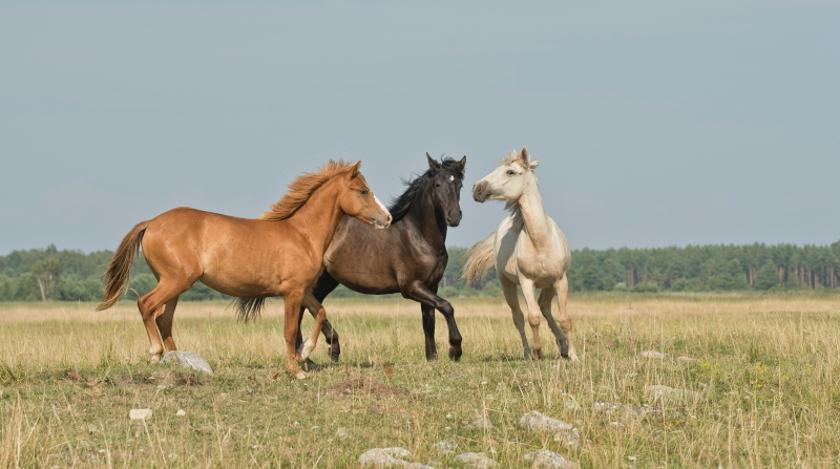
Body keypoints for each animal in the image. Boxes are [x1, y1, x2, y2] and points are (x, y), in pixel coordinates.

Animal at [97, 160, 392, 376]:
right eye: (363, 190)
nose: (387, 218)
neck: (303, 234)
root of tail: (151, 222)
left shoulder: (303, 291)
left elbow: (320, 313)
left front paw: (305, 353)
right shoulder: (292, 293)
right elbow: (289, 331)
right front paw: (296, 369)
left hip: (175, 285)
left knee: (163, 318)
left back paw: (179, 361)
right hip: (175, 281)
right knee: (146, 305)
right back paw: (156, 354)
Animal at [296, 155, 466, 360]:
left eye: (459, 185)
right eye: (438, 184)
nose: (454, 217)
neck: (419, 236)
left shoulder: (431, 285)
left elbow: (429, 321)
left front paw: (432, 357)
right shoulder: (411, 287)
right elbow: (446, 306)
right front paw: (455, 349)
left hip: (327, 280)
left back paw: (320, 351)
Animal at [462, 148, 576, 360]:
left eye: (511, 172)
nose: (477, 188)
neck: (541, 242)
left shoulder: (560, 280)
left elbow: (565, 319)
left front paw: (574, 355)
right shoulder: (526, 281)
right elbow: (533, 318)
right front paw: (538, 352)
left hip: (548, 285)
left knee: (545, 307)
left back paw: (563, 346)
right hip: (507, 284)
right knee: (519, 317)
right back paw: (528, 353)